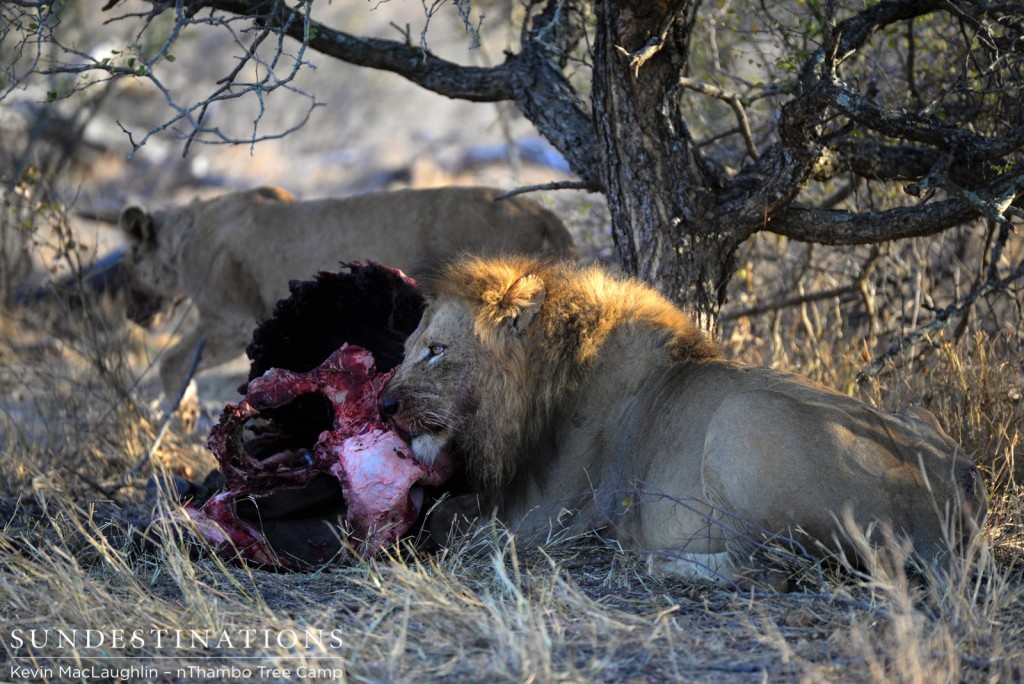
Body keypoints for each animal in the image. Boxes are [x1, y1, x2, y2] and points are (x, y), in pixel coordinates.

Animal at [119, 184, 577, 403]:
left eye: (131, 259)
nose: (130, 313)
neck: (187, 231)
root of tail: (543, 212)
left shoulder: (231, 321)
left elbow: (173, 364)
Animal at [380, 253, 987, 585]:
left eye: (435, 350)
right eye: (405, 349)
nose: (384, 405)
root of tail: (945, 499)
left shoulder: (546, 517)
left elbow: (447, 522)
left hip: (743, 416)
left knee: (771, 569)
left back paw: (654, 559)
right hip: (917, 414)